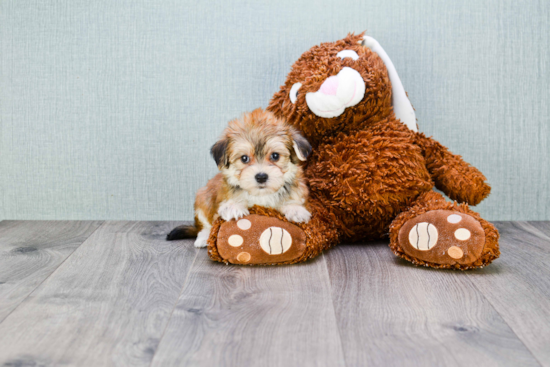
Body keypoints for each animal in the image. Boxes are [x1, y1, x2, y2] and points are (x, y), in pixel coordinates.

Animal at [166, 108, 312, 249]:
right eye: (244, 158)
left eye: (275, 156)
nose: (261, 177)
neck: (261, 195)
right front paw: (233, 207)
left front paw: (295, 209)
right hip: (203, 198)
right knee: (205, 226)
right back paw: (203, 239)